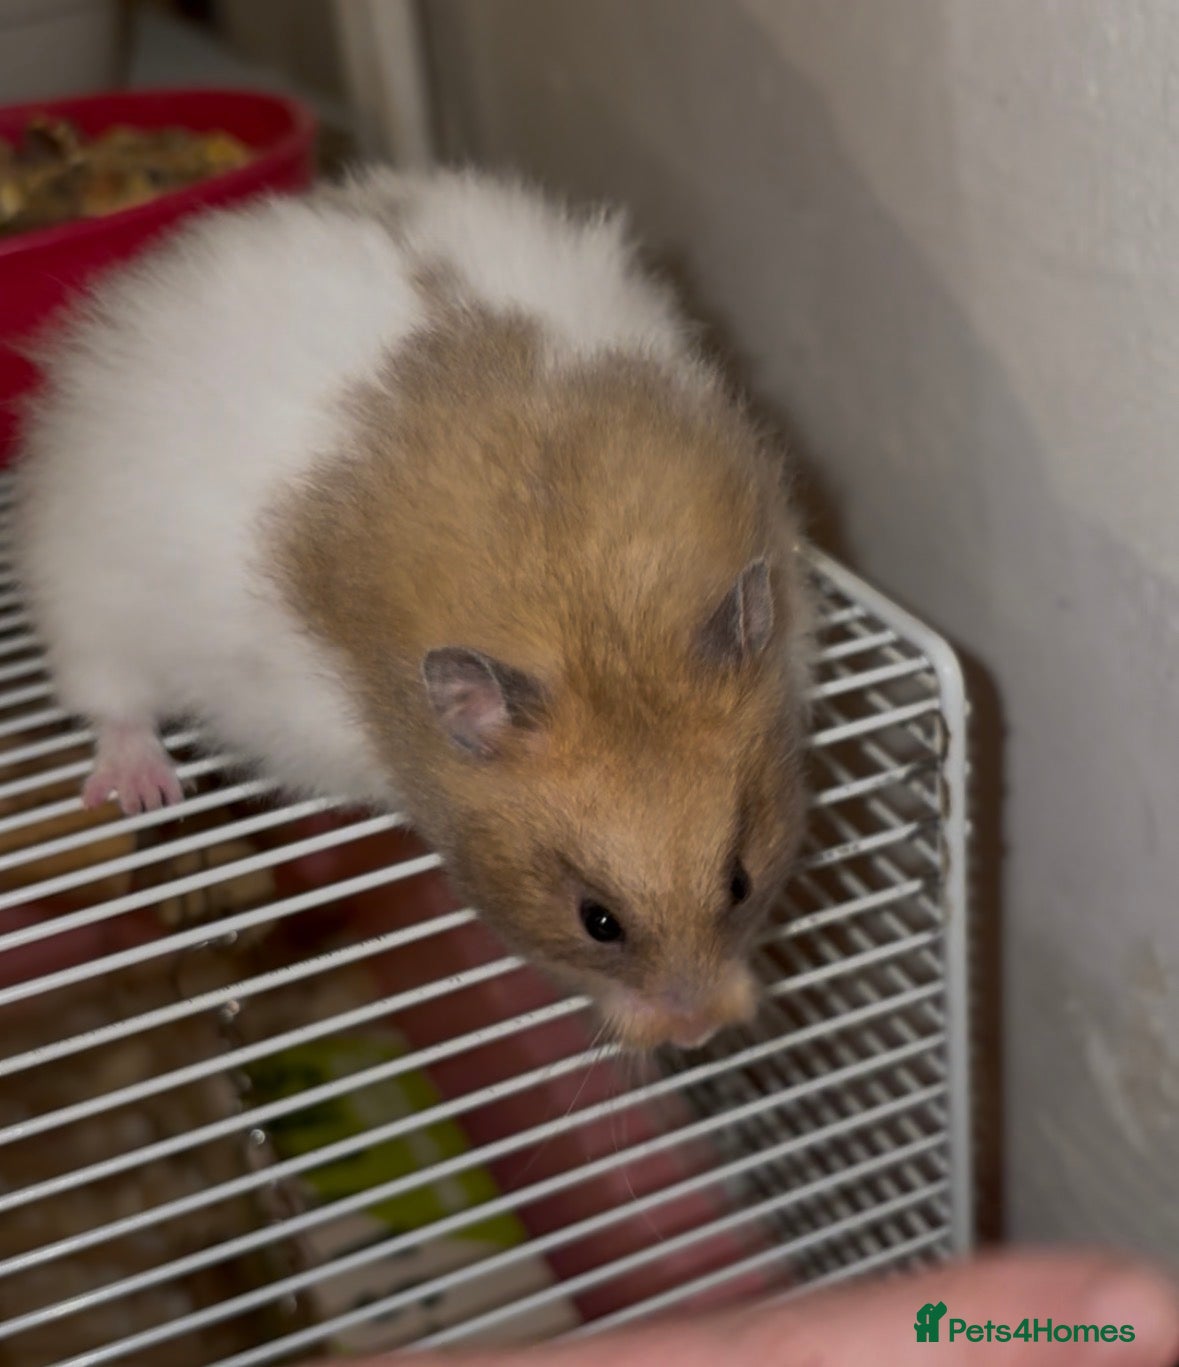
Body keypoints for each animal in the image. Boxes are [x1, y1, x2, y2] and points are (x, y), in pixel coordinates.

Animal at [14, 167, 811, 1051]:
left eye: (738, 881)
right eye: (597, 920)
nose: (697, 1032)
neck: (596, 627)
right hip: (84, 587)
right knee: (112, 703)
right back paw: (146, 789)